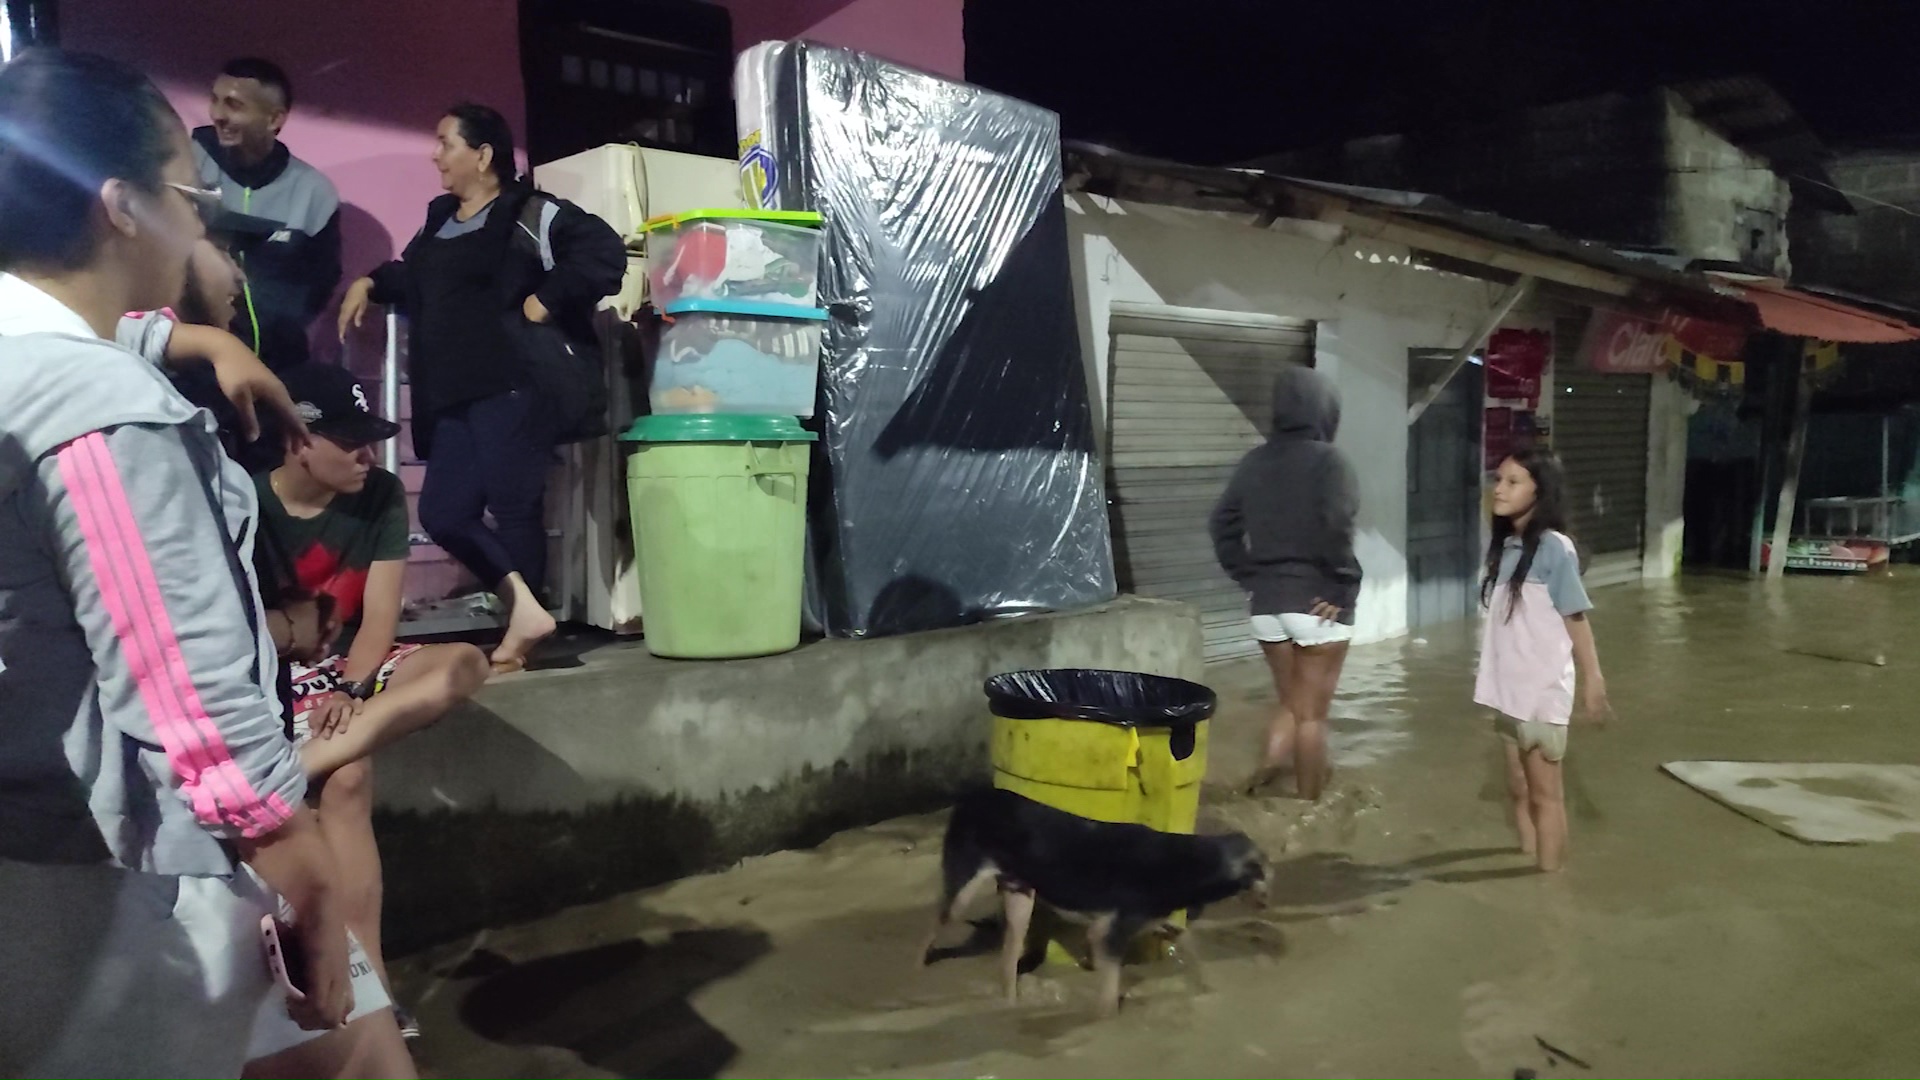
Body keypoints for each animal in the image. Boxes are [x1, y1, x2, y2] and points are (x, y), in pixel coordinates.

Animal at [921, 787, 1267, 1014]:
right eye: (1262, 871)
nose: (1265, 901)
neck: (1187, 863)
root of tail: (969, 798)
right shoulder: (1107, 935)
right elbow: (1109, 996)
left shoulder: (1150, 921)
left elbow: (1189, 944)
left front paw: (1206, 990)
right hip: (962, 890)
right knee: (934, 928)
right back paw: (919, 971)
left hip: (1021, 899)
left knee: (1007, 965)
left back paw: (1012, 1004)